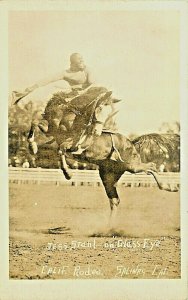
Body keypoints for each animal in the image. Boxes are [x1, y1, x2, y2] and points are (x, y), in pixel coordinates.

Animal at [26, 86, 179, 227]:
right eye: (99, 109)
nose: (96, 132)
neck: (67, 120)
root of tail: (131, 143)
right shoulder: (52, 134)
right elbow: (35, 123)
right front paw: (32, 146)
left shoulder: (72, 143)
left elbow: (61, 149)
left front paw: (68, 173)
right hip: (109, 177)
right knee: (115, 200)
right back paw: (109, 227)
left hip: (132, 166)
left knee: (152, 166)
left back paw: (169, 187)